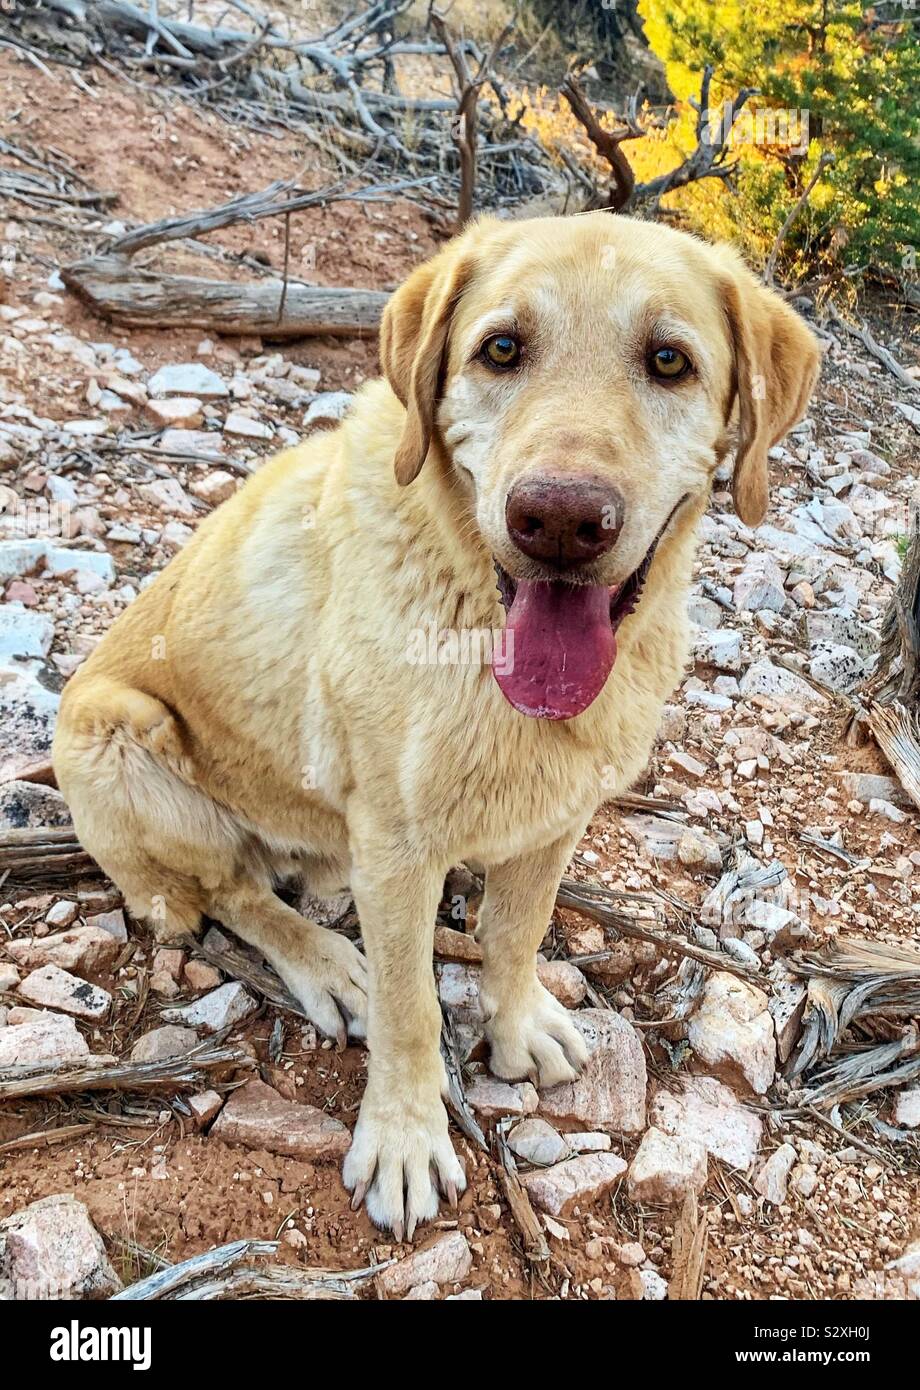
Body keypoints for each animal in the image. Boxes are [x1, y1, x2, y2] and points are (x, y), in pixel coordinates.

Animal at [52, 214, 822, 1239]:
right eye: (501, 349)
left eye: (669, 361)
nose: (559, 521)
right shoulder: (399, 845)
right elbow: (411, 1003)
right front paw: (407, 1138)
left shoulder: (558, 816)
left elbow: (518, 930)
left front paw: (514, 1024)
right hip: (114, 733)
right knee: (230, 893)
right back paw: (329, 964)